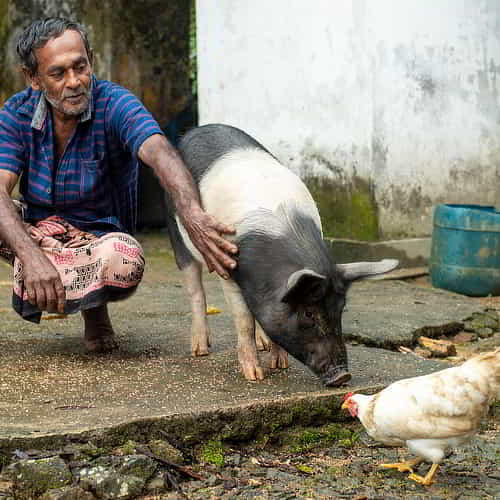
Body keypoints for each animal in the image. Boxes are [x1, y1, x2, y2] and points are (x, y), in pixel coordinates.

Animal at [165, 124, 398, 386]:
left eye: (341, 308)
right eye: (308, 312)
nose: (343, 375)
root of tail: (199, 128)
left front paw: (280, 365)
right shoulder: (229, 270)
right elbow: (243, 321)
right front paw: (255, 377)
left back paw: (262, 345)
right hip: (177, 230)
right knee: (195, 290)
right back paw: (200, 350)